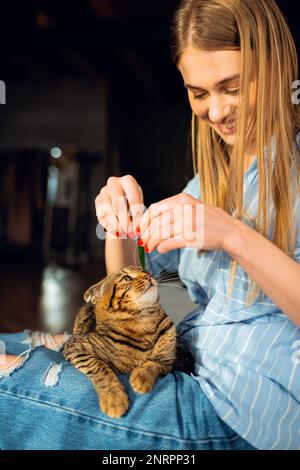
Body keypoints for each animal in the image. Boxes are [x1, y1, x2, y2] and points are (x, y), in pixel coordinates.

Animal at [62, 266, 177, 416]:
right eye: (126, 278)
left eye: (144, 271)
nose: (148, 276)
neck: (144, 324)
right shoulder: (75, 347)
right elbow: (99, 367)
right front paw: (113, 396)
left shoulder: (167, 362)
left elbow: (154, 363)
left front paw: (142, 377)